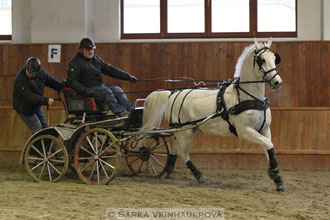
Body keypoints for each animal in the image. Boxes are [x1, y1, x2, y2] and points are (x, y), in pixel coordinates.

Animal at [138, 38, 284, 192]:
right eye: (262, 60)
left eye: (274, 58)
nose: (277, 82)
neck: (249, 98)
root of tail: (173, 93)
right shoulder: (245, 131)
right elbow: (268, 145)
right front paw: (275, 174)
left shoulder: (264, 129)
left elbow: (269, 148)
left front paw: (277, 178)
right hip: (186, 131)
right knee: (183, 152)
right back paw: (199, 175)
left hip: (184, 130)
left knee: (174, 148)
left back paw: (169, 171)